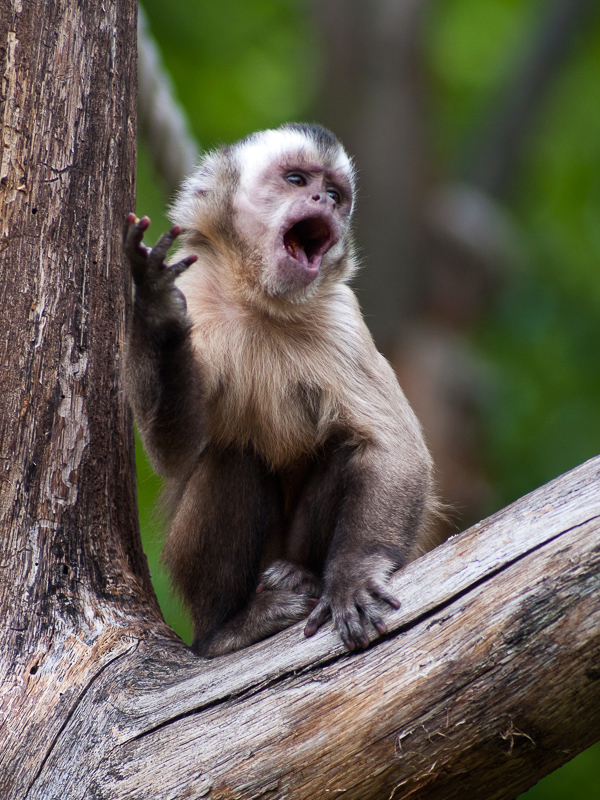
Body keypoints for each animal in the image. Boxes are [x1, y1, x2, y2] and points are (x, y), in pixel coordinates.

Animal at [123, 123, 436, 656]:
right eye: (296, 180)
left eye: (335, 194)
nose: (321, 200)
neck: (259, 299)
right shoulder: (198, 290)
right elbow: (174, 452)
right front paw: (158, 312)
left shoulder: (342, 317)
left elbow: (394, 448)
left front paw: (354, 577)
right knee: (231, 458)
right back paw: (225, 627)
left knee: (343, 448)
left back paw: (302, 574)